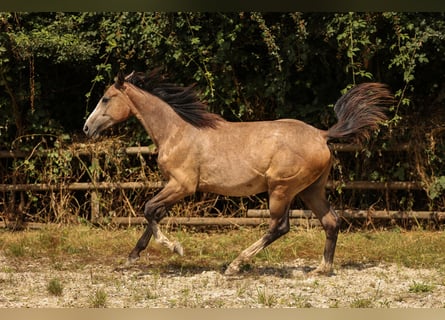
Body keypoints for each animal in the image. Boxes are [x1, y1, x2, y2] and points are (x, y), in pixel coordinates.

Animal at [83, 70, 392, 276]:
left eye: (106, 98)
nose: (87, 127)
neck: (176, 131)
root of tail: (322, 134)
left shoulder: (182, 185)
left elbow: (148, 210)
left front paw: (175, 248)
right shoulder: (174, 186)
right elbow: (154, 214)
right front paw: (132, 257)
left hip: (282, 189)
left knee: (280, 226)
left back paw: (235, 264)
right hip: (311, 190)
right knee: (331, 221)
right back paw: (321, 268)